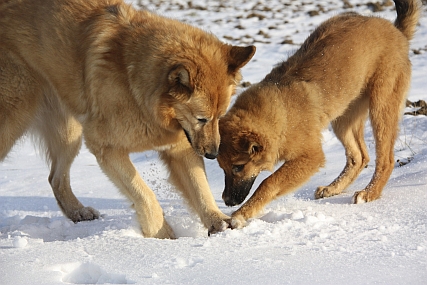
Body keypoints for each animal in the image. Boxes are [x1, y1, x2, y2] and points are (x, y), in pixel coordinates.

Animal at [0, 0, 256, 237]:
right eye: (202, 119)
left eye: (219, 117)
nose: (213, 154)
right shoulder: (106, 148)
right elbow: (144, 194)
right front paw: (160, 234)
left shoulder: (181, 148)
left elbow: (201, 189)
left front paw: (218, 221)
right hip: (13, 122)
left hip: (69, 133)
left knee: (56, 178)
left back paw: (78, 212)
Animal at [217, 0, 422, 226]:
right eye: (221, 167)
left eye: (238, 167)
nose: (226, 201)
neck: (280, 113)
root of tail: (397, 31)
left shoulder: (310, 157)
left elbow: (269, 182)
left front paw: (241, 214)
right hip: (343, 116)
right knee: (359, 157)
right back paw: (334, 188)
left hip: (381, 107)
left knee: (385, 159)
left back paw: (370, 192)